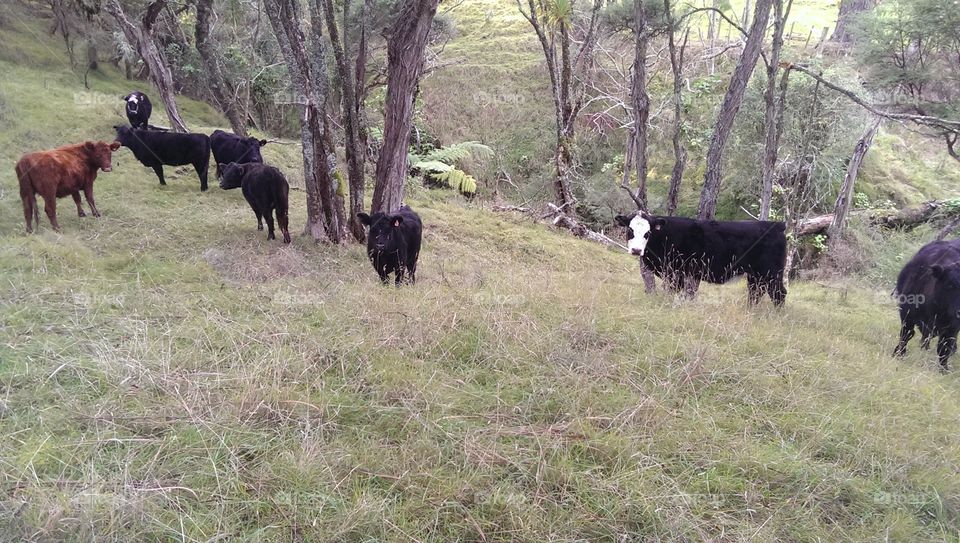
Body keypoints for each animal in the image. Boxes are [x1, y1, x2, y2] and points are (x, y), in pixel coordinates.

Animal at [614, 211, 788, 305]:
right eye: (630, 230)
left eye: (647, 233)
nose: (636, 250)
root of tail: (777, 225)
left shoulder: (676, 272)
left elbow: (674, 291)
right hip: (755, 275)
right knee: (755, 293)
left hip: (771, 273)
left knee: (778, 294)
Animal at [893, 239, 960, 371]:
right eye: (949, 285)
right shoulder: (906, 313)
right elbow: (906, 334)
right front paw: (899, 354)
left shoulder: (953, 326)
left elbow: (944, 347)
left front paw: (944, 369)